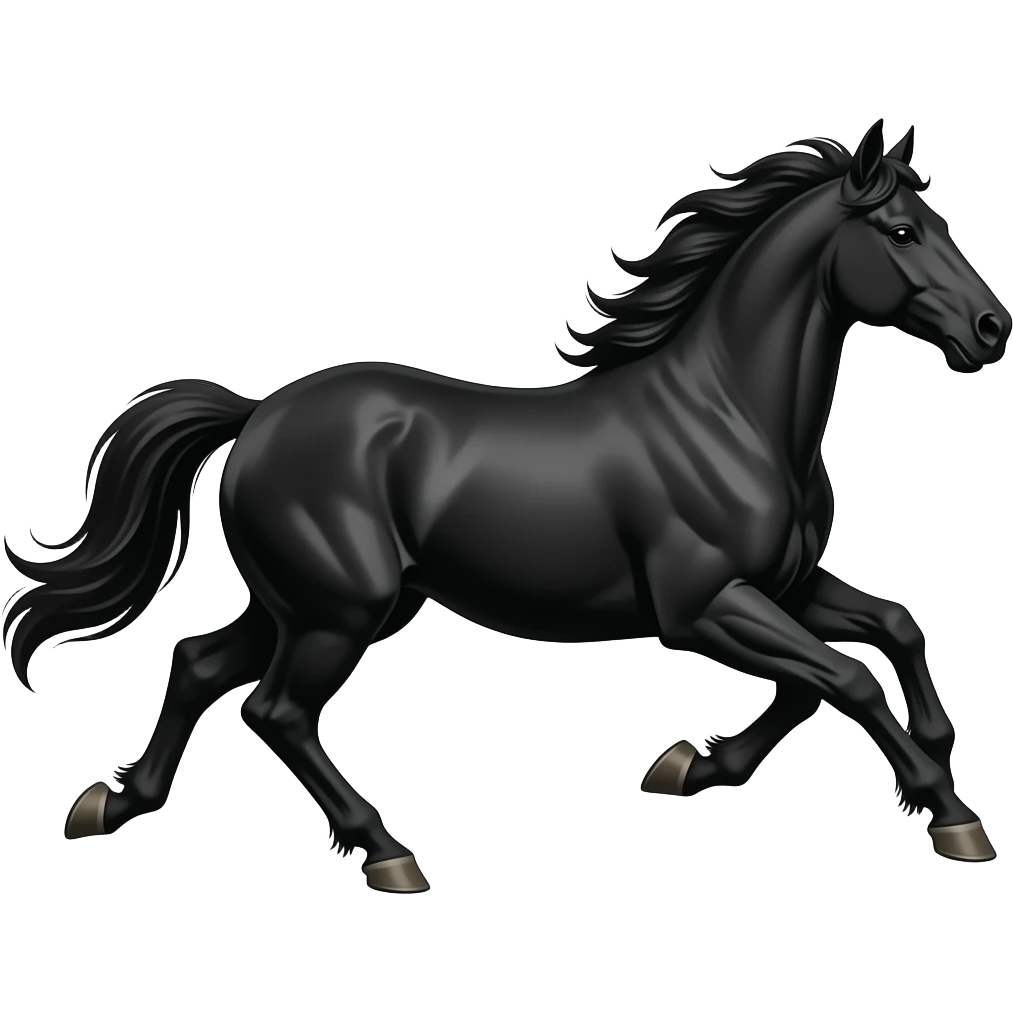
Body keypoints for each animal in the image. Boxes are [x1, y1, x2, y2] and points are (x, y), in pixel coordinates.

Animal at [4, 119, 1007, 887]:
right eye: (902, 231)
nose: (991, 327)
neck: (730, 413)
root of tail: (256, 415)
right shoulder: (701, 606)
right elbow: (841, 678)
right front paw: (950, 812)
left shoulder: (786, 587)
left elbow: (878, 637)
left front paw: (694, 765)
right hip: (340, 607)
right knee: (274, 709)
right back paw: (388, 854)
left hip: (315, 601)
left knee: (199, 663)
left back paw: (110, 802)